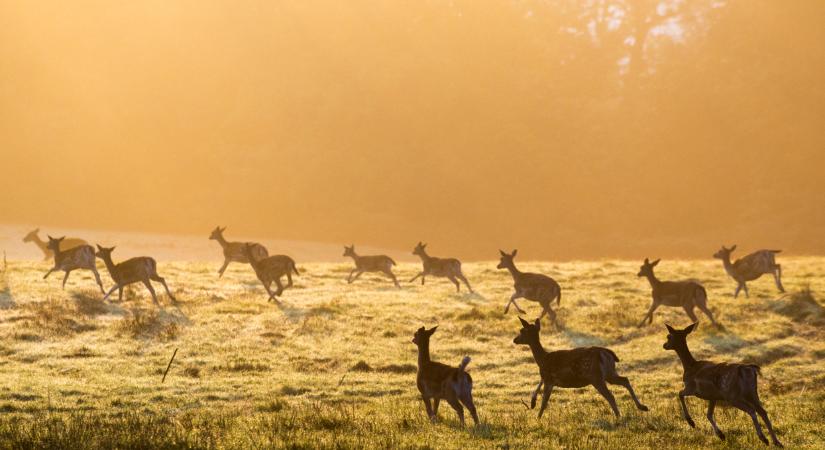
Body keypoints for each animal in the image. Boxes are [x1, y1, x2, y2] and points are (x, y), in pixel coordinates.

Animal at [512, 316, 648, 418]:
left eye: (522, 331)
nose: (515, 340)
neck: (542, 359)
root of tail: (607, 353)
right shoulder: (546, 379)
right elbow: (540, 393)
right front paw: (532, 403)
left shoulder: (549, 379)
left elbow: (544, 402)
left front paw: (538, 418)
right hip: (610, 373)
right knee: (625, 379)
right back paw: (642, 407)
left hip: (596, 376)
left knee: (610, 395)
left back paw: (619, 416)